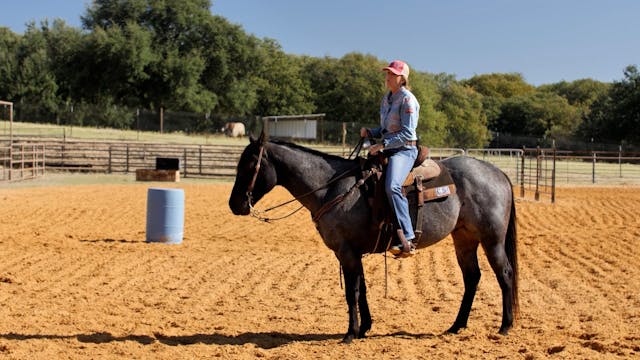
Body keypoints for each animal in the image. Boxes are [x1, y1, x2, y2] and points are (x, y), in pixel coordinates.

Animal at [228, 131, 516, 344]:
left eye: (251, 165)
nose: (234, 205)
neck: (332, 188)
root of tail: (497, 173)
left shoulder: (346, 252)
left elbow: (352, 292)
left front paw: (349, 334)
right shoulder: (353, 252)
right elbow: (363, 289)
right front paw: (364, 328)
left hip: (492, 239)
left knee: (504, 274)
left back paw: (505, 326)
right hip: (464, 239)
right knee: (472, 278)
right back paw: (456, 326)